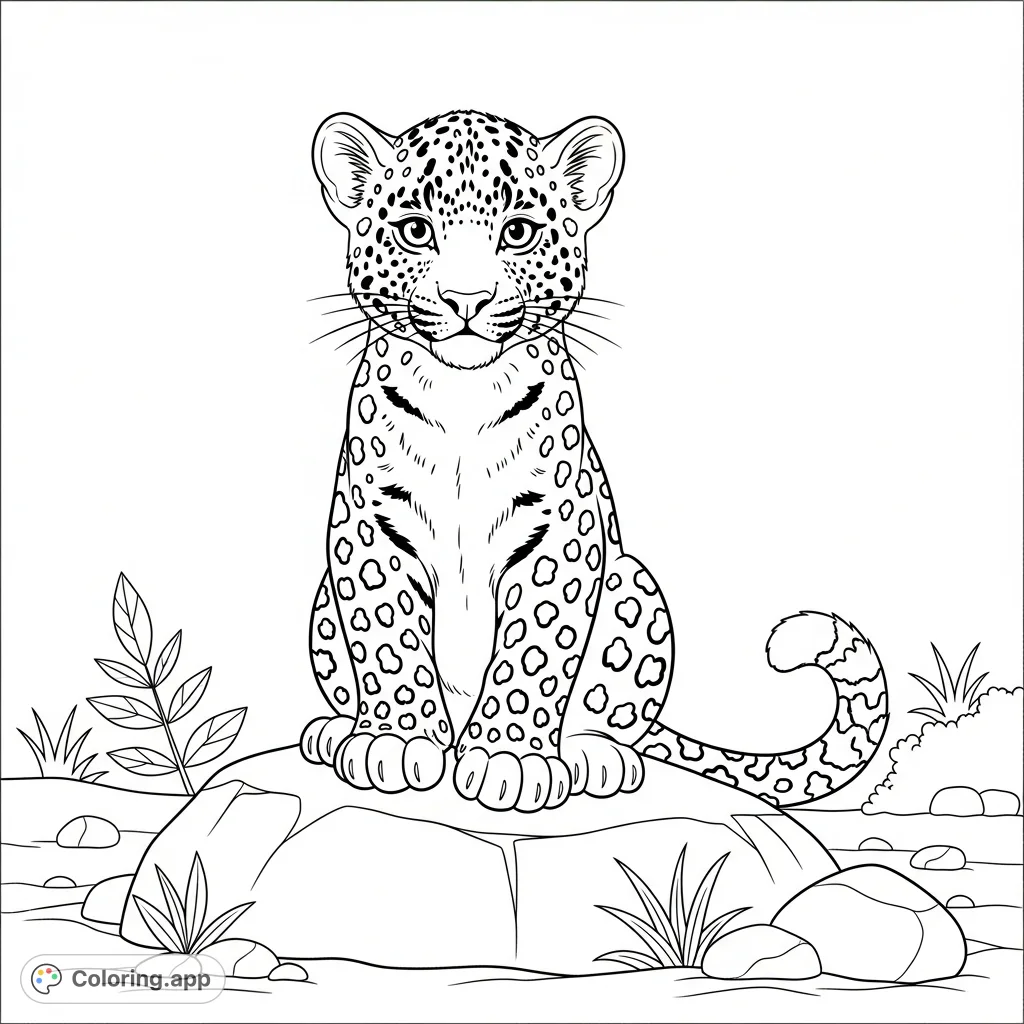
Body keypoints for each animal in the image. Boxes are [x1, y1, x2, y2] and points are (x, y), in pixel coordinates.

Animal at [299, 109, 889, 813]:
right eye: (416, 230)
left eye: (518, 232)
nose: (467, 300)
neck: (464, 395)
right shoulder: (371, 531)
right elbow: (390, 645)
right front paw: (400, 741)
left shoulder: (559, 535)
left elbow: (532, 655)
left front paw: (510, 759)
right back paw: (334, 731)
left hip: (634, 582)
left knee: (615, 716)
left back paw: (594, 756)